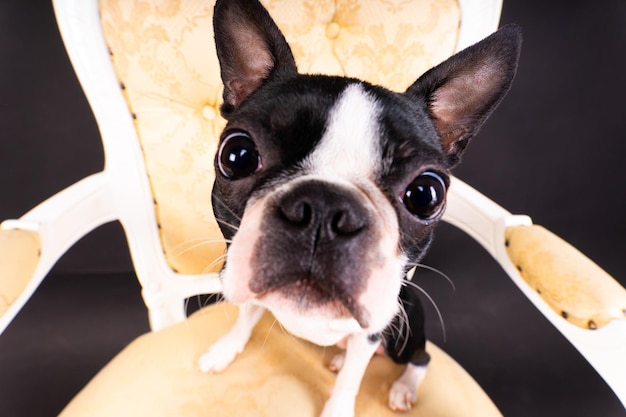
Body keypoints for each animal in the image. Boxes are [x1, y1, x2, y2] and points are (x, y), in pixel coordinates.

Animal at [197, 1, 520, 414]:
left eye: (426, 194)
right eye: (238, 155)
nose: (323, 209)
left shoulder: (373, 335)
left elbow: (352, 379)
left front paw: (338, 407)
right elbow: (244, 318)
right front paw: (224, 351)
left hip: (404, 335)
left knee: (422, 357)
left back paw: (403, 388)